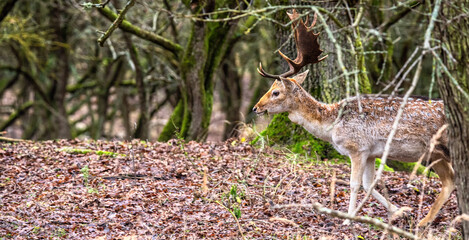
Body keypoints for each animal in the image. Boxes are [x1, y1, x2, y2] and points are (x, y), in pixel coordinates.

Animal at [252, 9, 454, 227]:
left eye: (276, 92)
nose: (256, 108)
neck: (332, 126)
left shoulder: (358, 148)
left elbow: (355, 184)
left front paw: (348, 219)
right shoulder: (371, 153)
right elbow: (368, 184)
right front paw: (400, 211)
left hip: (439, 149)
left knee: (451, 179)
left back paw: (426, 221)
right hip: (436, 154)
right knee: (450, 180)